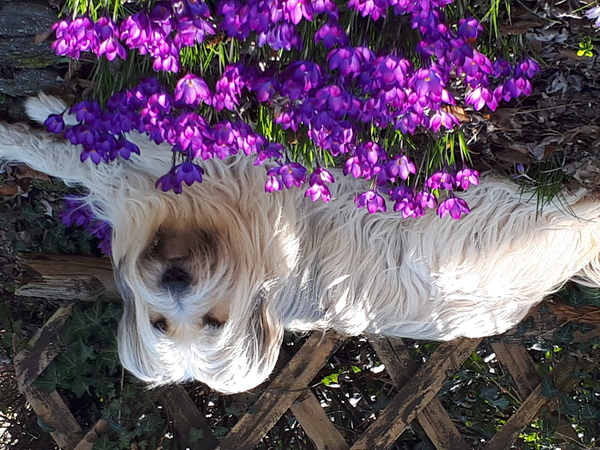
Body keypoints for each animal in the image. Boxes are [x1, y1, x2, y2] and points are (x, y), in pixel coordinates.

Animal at [1, 93, 600, 394]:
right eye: (160, 325)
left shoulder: (223, 173)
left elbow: (97, 146)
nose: (175, 281)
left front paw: (34, 119)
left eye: (213, 323)